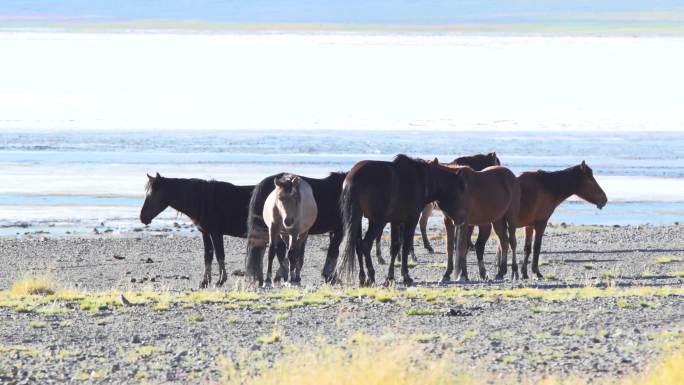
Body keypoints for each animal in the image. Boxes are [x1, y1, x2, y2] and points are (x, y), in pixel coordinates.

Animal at [139, 172, 280, 286]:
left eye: (153, 194)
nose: (142, 217)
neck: (204, 201)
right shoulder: (205, 233)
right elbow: (208, 256)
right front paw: (205, 281)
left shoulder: (216, 233)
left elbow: (219, 255)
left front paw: (221, 280)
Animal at [332, 154, 470, 284]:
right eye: (459, 191)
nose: (460, 218)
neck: (422, 179)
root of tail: (352, 179)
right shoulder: (411, 220)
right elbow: (405, 246)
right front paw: (405, 275)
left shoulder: (396, 221)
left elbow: (395, 247)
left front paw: (390, 277)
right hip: (376, 221)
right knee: (365, 244)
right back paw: (371, 275)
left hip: (358, 218)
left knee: (357, 244)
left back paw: (362, 277)